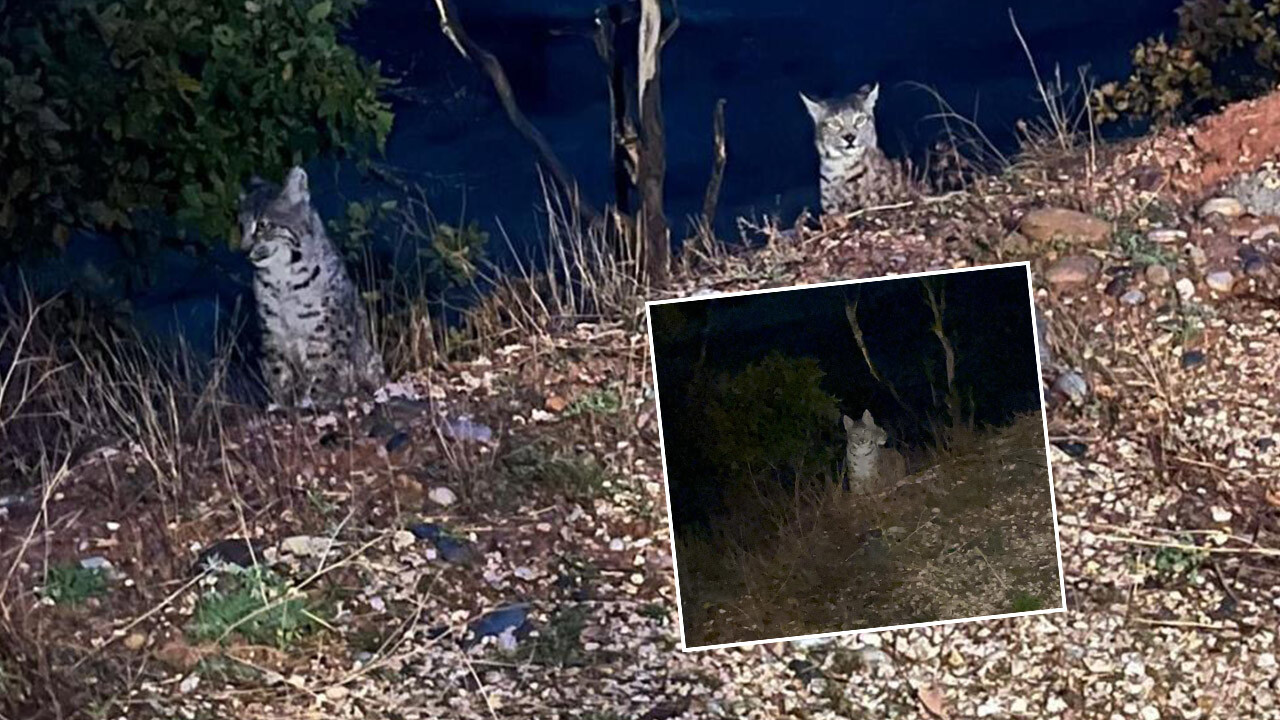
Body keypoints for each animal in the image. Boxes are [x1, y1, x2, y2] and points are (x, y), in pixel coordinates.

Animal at [238, 165, 381, 407]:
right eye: (241, 227)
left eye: (264, 225)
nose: (243, 250)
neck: (281, 278)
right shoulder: (273, 331)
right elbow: (279, 370)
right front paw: (282, 402)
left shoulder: (324, 328)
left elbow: (323, 367)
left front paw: (315, 400)